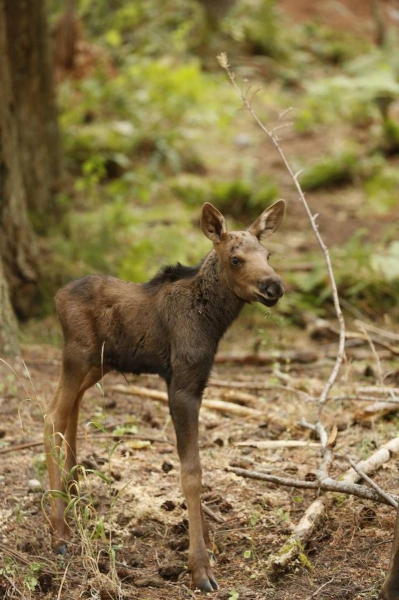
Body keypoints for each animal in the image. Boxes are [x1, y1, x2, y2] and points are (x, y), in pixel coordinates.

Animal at [43, 200, 288, 592]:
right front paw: (200, 568)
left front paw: (209, 546)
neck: (212, 321)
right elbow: (192, 471)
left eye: (268, 254)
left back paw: (72, 501)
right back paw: (60, 532)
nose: (273, 285)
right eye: (236, 258)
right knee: (52, 416)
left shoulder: (199, 382)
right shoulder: (182, 384)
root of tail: (56, 297)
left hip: (98, 364)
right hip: (78, 355)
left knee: (69, 412)